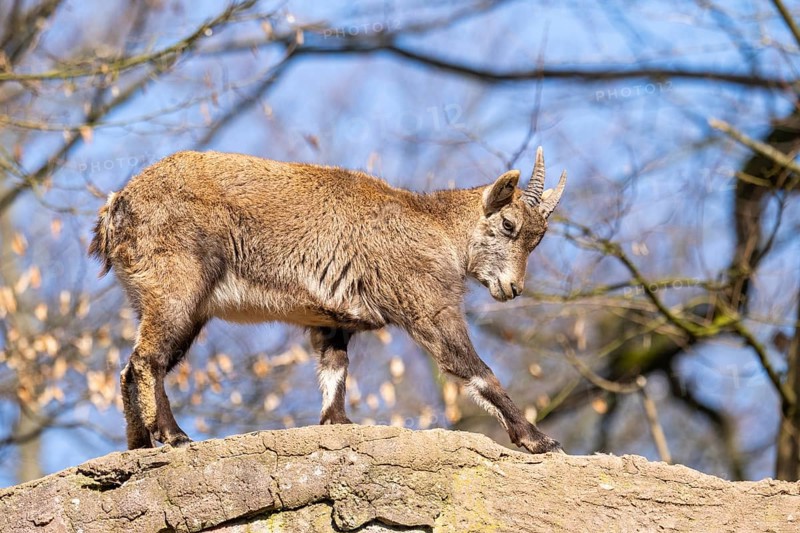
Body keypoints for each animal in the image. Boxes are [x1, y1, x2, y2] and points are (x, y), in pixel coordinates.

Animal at [89, 147, 566, 453]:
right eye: (508, 225)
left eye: (538, 238)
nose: (512, 288)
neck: (438, 229)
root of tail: (117, 206)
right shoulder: (426, 302)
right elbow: (476, 369)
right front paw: (537, 439)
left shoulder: (331, 320)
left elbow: (335, 369)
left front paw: (337, 423)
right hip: (177, 287)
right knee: (146, 360)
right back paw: (174, 436)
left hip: (171, 303)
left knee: (130, 367)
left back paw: (138, 446)